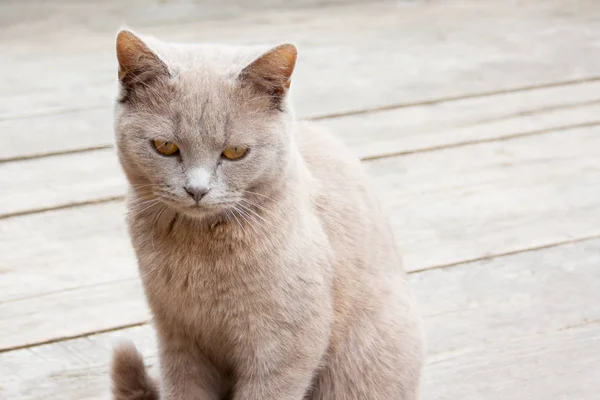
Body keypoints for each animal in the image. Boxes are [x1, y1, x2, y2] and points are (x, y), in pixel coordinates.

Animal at [111, 28, 422, 400]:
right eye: (166, 147)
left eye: (235, 152)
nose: (197, 190)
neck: (198, 255)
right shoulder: (178, 337)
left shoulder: (285, 346)